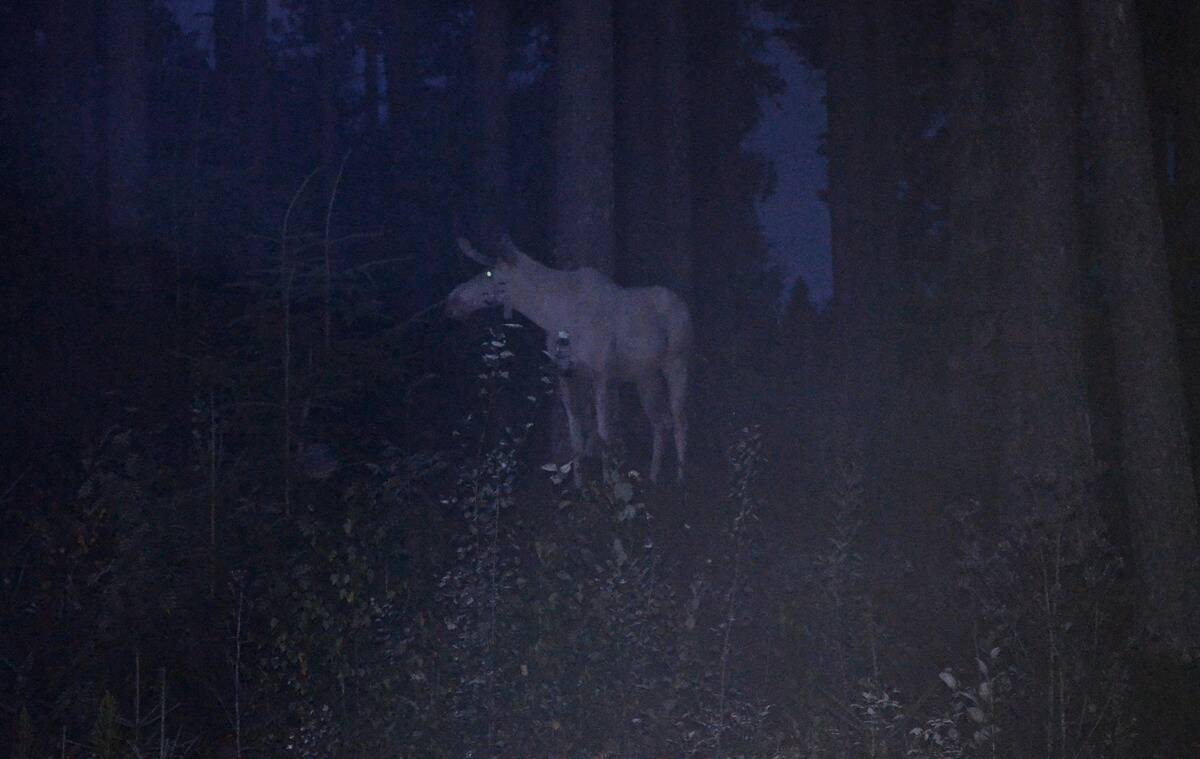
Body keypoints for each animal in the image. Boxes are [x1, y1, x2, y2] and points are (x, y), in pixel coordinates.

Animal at [447, 235, 692, 486]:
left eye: (489, 273)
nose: (452, 301)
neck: (553, 315)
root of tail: (684, 307)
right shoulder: (566, 372)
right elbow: (576, 434)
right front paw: (578, 485)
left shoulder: (601, 372)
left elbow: (603, 433)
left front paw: (608, 483)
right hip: (645, 376)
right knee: (660, 422)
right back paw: (653, 477)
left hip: (677, 361)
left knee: (680, 418)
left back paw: (681, 478)